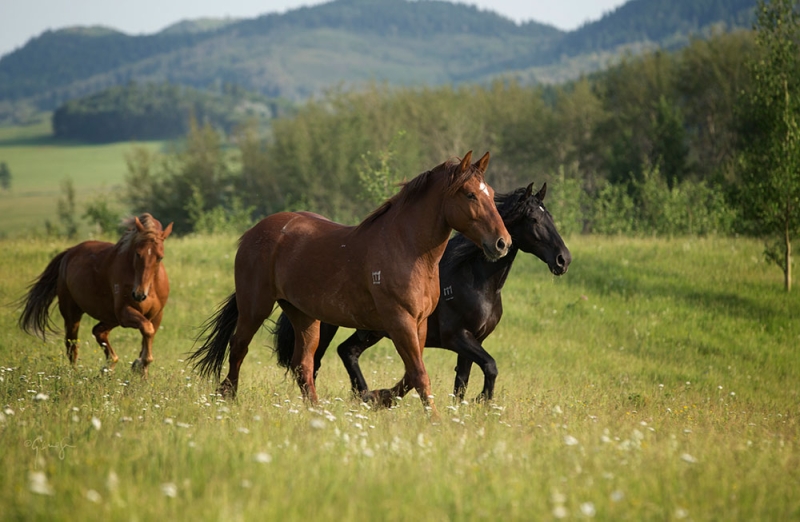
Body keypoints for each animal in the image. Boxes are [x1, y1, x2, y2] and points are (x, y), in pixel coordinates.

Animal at [18, 211, 172, 374]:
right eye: (137, 254)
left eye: (160, 257)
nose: (139, 295)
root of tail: (69, 253)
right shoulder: (124, 312)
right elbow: (147, 330)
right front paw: (140, 362)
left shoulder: (155, 316)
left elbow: (147, 335)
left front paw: (140, 368)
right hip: (73, 315)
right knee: (72, 346)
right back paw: (75, 373)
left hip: (111, 318)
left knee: (98, 332)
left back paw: (108, 366)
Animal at [191, 151, 510, 414]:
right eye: (470, 195)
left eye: (492, 193)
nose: (502, 243)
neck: (407, 249)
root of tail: (254, 233)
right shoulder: (400, 322)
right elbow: (419, 374)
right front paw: (431, 419)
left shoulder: (419, 324)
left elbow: (411, 373)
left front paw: (378, 397)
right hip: (256, 306)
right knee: (239, 347)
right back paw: (227, 398)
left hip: (304, 315)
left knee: (303, 364)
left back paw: (317, 412)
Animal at [274, 181, 568, 400]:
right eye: (533, 219)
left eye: (551, 217)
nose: (563, 259)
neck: (474, 281)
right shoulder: (457, 337)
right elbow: (490, 366)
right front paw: (483, 400)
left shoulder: (474, 340)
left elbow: (462, 381)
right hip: (329, 324)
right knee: (315, 363)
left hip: (371, 331)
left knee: (347, 352)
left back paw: (366, 395)